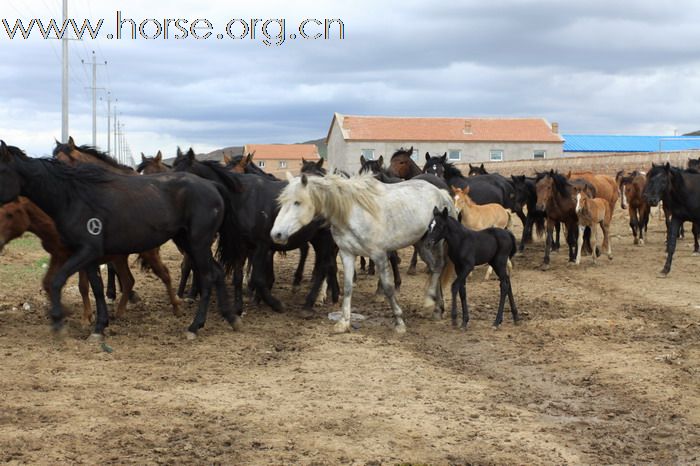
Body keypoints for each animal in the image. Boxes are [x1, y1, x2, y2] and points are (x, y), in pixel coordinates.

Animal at [0, 197, 180, 324]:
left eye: (10, 214)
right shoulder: (58, 256)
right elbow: (48, 282)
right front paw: (64, 311)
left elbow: (83, 287)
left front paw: (86, 318)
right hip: (119, 258)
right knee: (129, 280)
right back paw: (120, 312)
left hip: (148, 253)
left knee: (165, 274)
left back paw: (176, 307)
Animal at [174, 149, 340, 314]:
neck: (242, 199)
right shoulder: (242, 245)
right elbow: (238, 276)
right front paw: (239, 307)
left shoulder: (262, 245)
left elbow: (258, 278)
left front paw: (273, 303)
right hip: (316, 237)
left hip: (325, 237)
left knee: (324, 266)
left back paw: (311, 302)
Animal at [270, 173, 456, 334]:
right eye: (282, 201)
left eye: (297, 202)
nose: (276, 234)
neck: (352, 214)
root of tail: (441, 192)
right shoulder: (347, 254)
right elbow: (347, 287)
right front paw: (343, 322)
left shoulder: (379, 255)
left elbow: (388, 289)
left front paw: (399, 322)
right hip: (421, 243)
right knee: (435, 268)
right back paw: (437, 308)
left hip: (436, 242)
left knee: (438, 266)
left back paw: (429, 302)